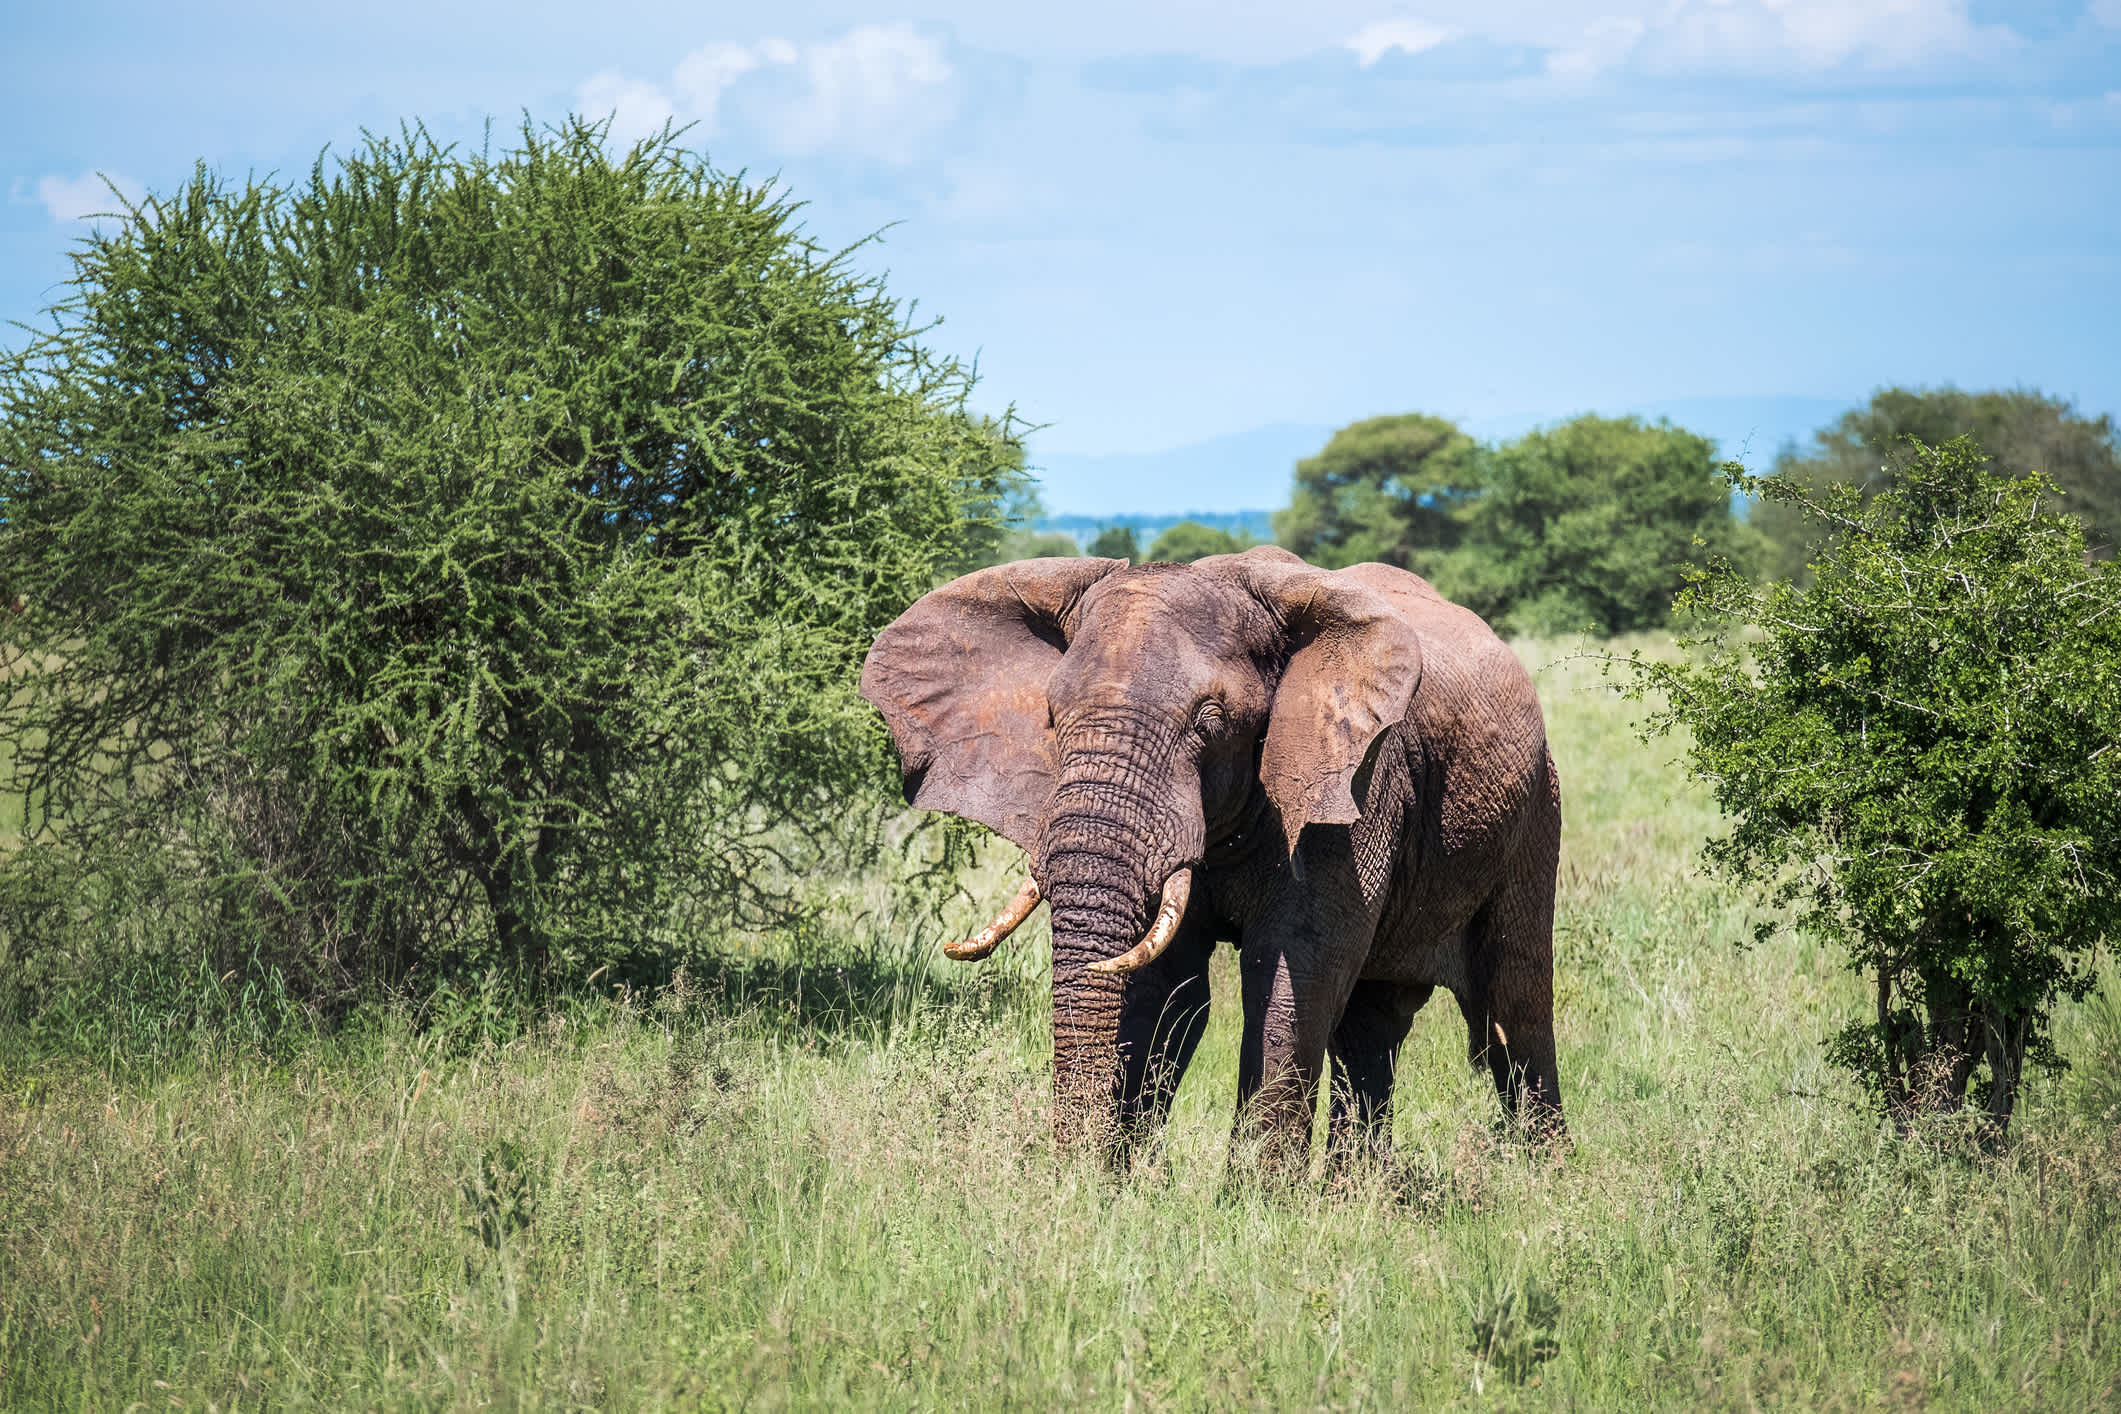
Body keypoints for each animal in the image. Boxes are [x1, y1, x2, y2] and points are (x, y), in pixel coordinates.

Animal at [852, 546, 1569, 1170]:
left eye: (1210, 721)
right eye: (1052, 716)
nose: (1065, 1178)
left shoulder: (1356, 780)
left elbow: (1291, 972)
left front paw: (1254, 1207)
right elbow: (1165, 988)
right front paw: (1116, 1189)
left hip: (1537, 807)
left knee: (1515, 1003)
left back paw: (1541, 1185)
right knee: (1374, 1026)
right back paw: (1353, 1196)